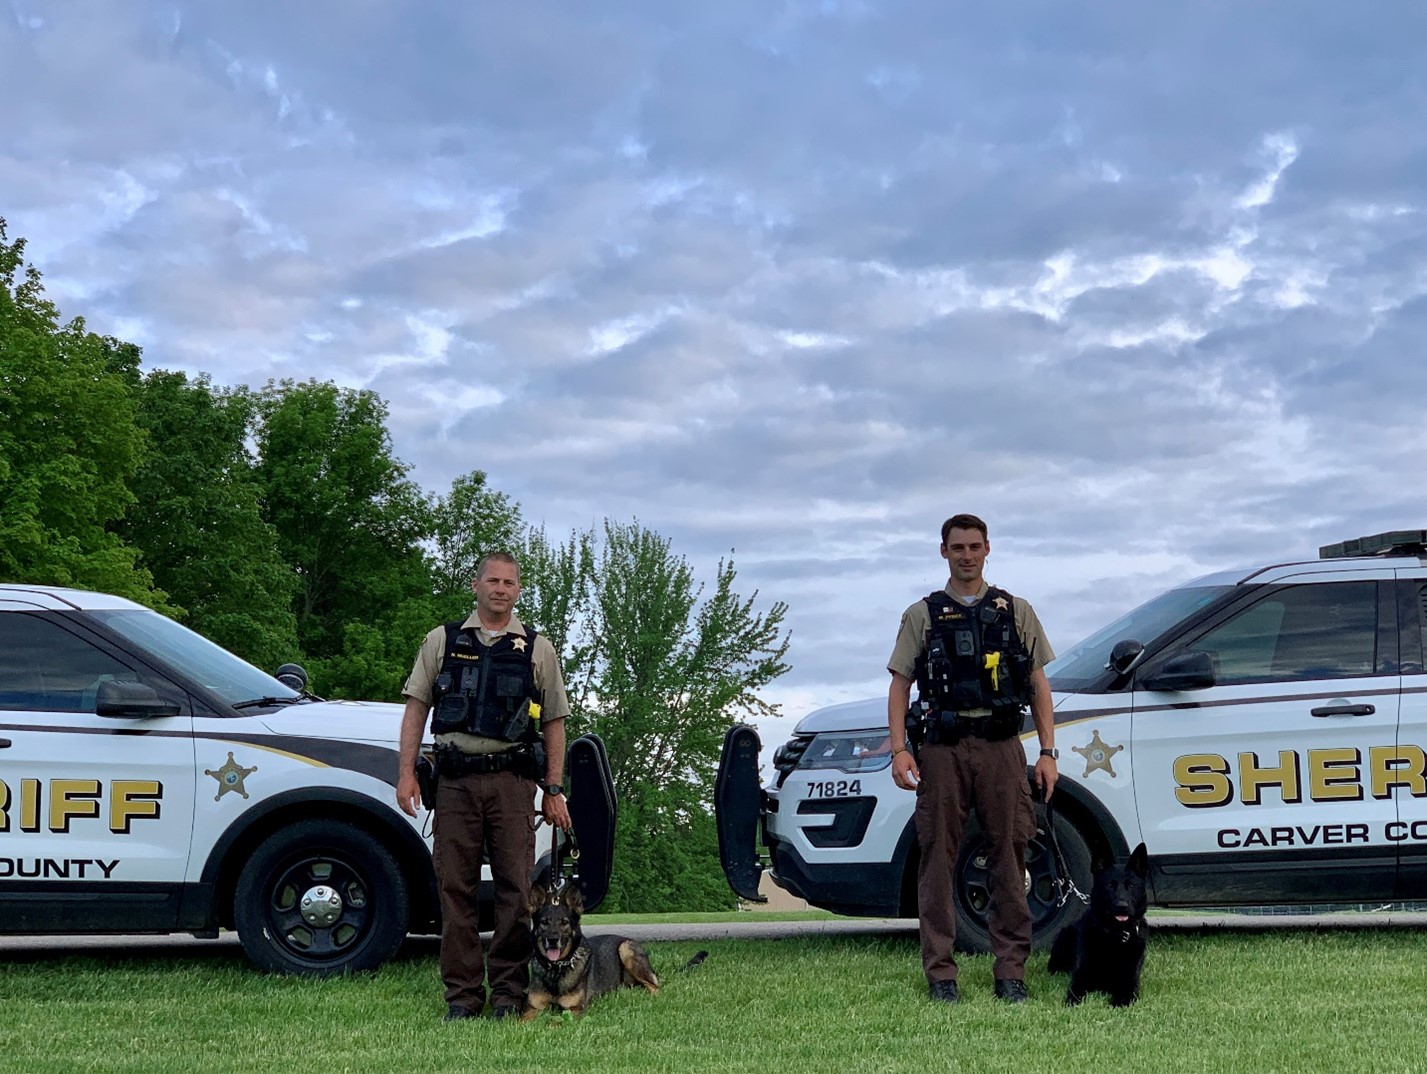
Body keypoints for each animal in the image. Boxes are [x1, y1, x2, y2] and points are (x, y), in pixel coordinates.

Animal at [522, 878, 659, 1021]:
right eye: (544, 922)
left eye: (564, 922)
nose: (553, 940)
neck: (557, 968)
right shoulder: (533, 1008)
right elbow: (522, 1021)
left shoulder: (575, 1009)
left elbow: (555, 1023)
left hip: (625, 948)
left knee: (655, 986)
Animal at [1050, 838, 1147, 1004]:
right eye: (1110, 885)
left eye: (1131, 886)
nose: (1122, 906)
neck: (1115, 936)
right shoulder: (1082, 975)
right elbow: (1074, 993)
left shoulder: (1129, 980)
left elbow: (1124, 996)